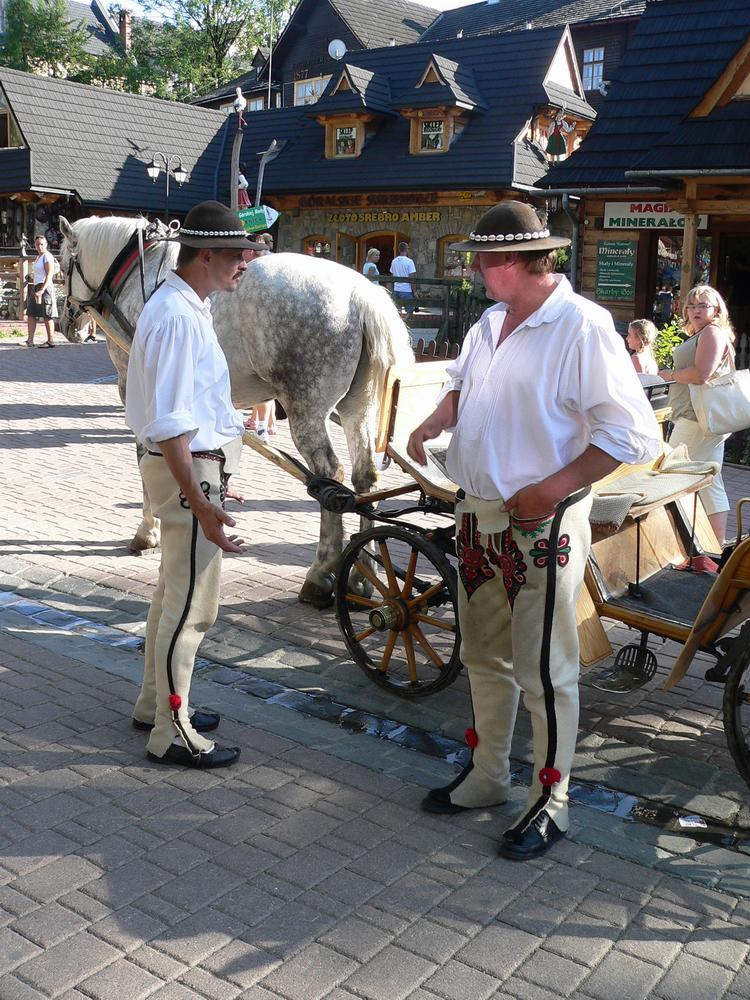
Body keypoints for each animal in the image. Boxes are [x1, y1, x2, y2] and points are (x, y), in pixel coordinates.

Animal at [58, 218, 414, 604]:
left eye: (61, 265)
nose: (67, 324)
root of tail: (361, 296)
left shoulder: (141, 392)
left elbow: (146, 462)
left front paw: (147, 530)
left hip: (306, 406)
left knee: (329, 476)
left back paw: (320, 574)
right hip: (357, 408)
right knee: (365, 477)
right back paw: (363, 575)